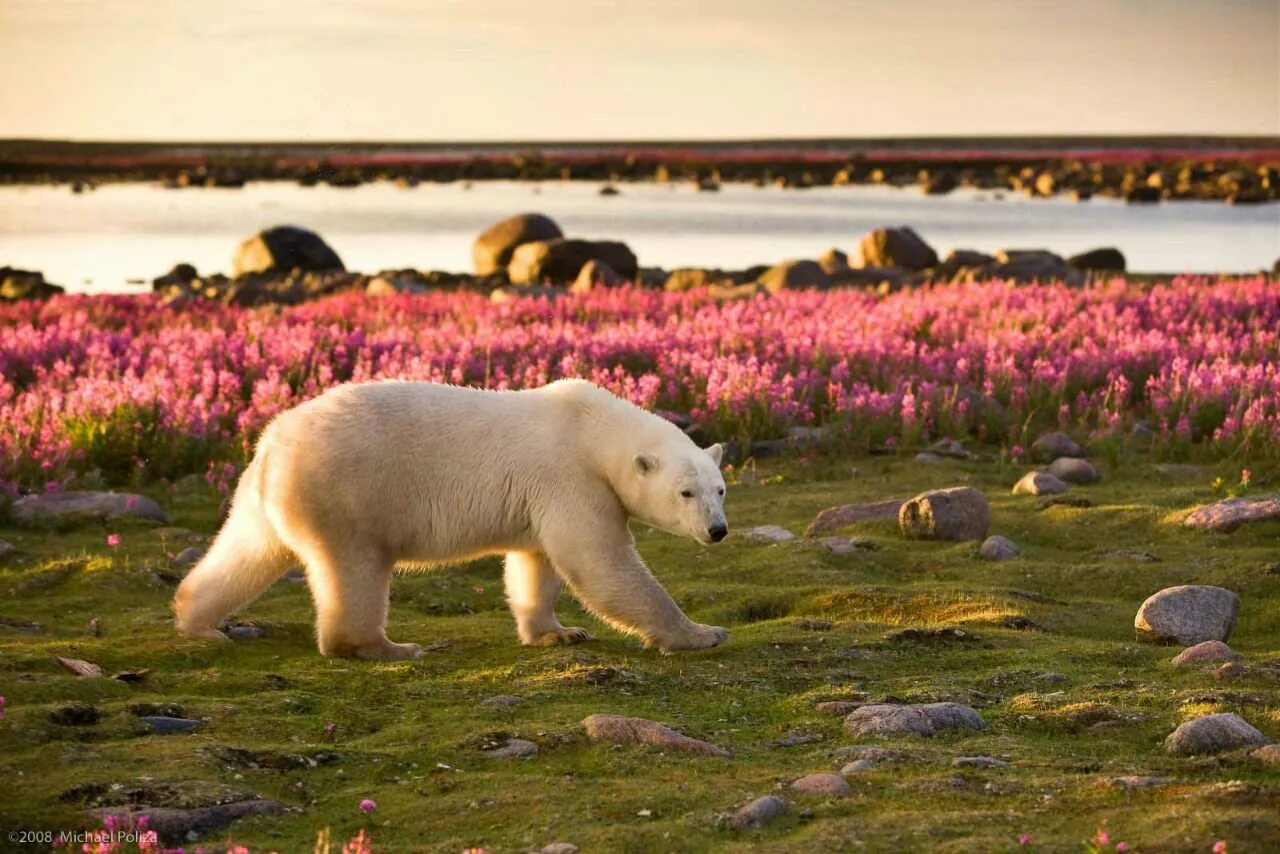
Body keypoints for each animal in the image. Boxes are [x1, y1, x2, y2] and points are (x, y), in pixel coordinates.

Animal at [171, 381, 732, 660]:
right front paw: (701, 633)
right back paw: (386, 647)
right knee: (355, 570)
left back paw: (198, 621)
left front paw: (556, 632)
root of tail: (271, 445)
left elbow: (537, 563)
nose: (718, 530)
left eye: (720, 489)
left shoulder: (546, 493)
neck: (594, 429)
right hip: (347, 495)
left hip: (264, 498)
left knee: (247, 550)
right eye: (686, 492)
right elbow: (600, 562)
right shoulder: (571, 477)